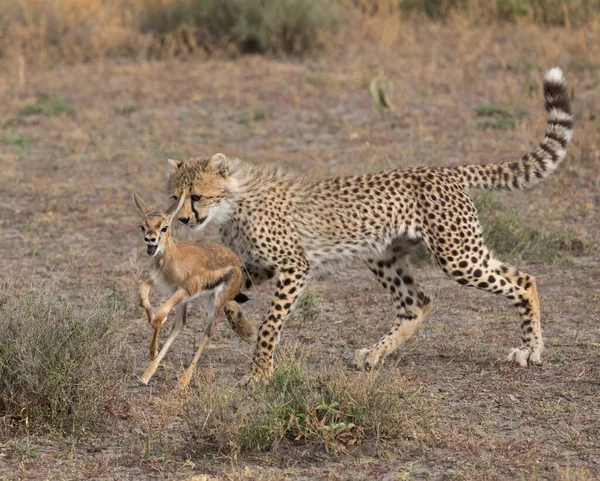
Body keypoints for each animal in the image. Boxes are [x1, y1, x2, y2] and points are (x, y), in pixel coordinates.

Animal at [166, 68, 568, 382]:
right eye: (174, 198)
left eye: (196, 196)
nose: (183, 219)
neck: (233, 202)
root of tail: (443, 170)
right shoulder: (261, 265)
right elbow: (229, 295)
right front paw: (240, 325)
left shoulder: (295, 266)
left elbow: (271, 323)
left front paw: (259, 371)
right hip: (388, 255)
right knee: (422, 302)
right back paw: (375, 354)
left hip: (458, 257)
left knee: (519, 283)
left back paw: (530, 350)